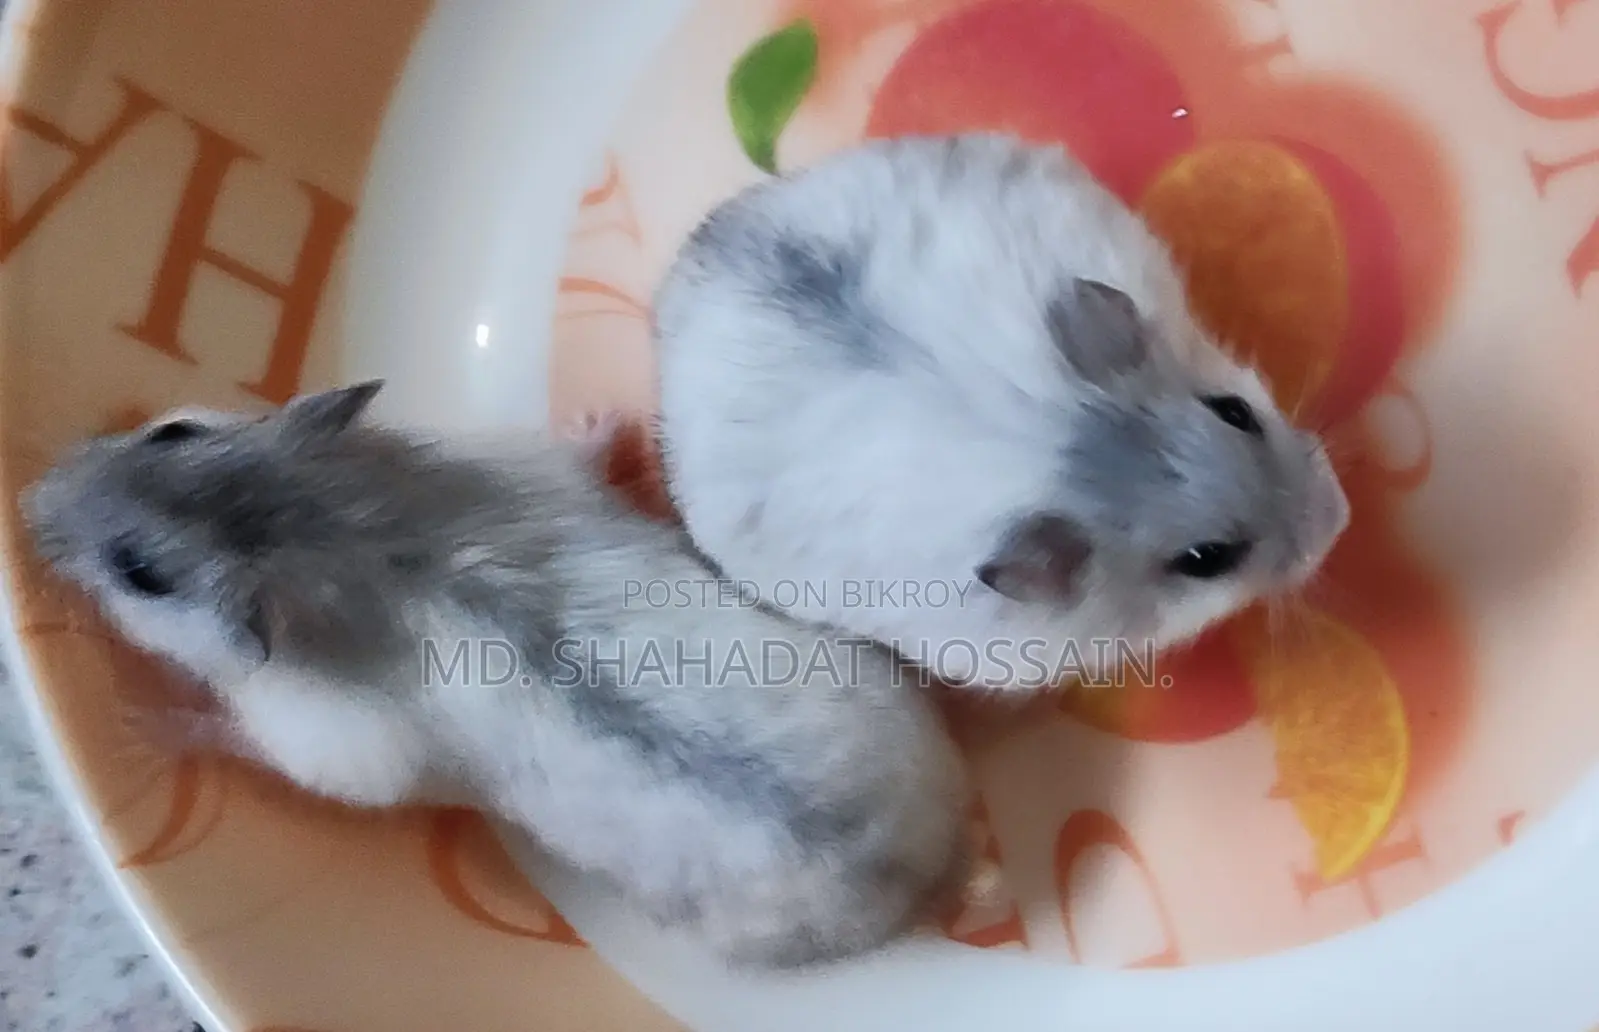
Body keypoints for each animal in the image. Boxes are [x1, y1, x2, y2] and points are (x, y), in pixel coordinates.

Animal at [20, 382, 972, 968]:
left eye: (141, 574)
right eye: (171, 430)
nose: (29, 499)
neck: (329, 528)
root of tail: (919, 866)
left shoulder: (333, 742)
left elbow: (247, 739)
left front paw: (147, 721)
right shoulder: (529, 466)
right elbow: (576, 454)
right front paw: (603, 417)